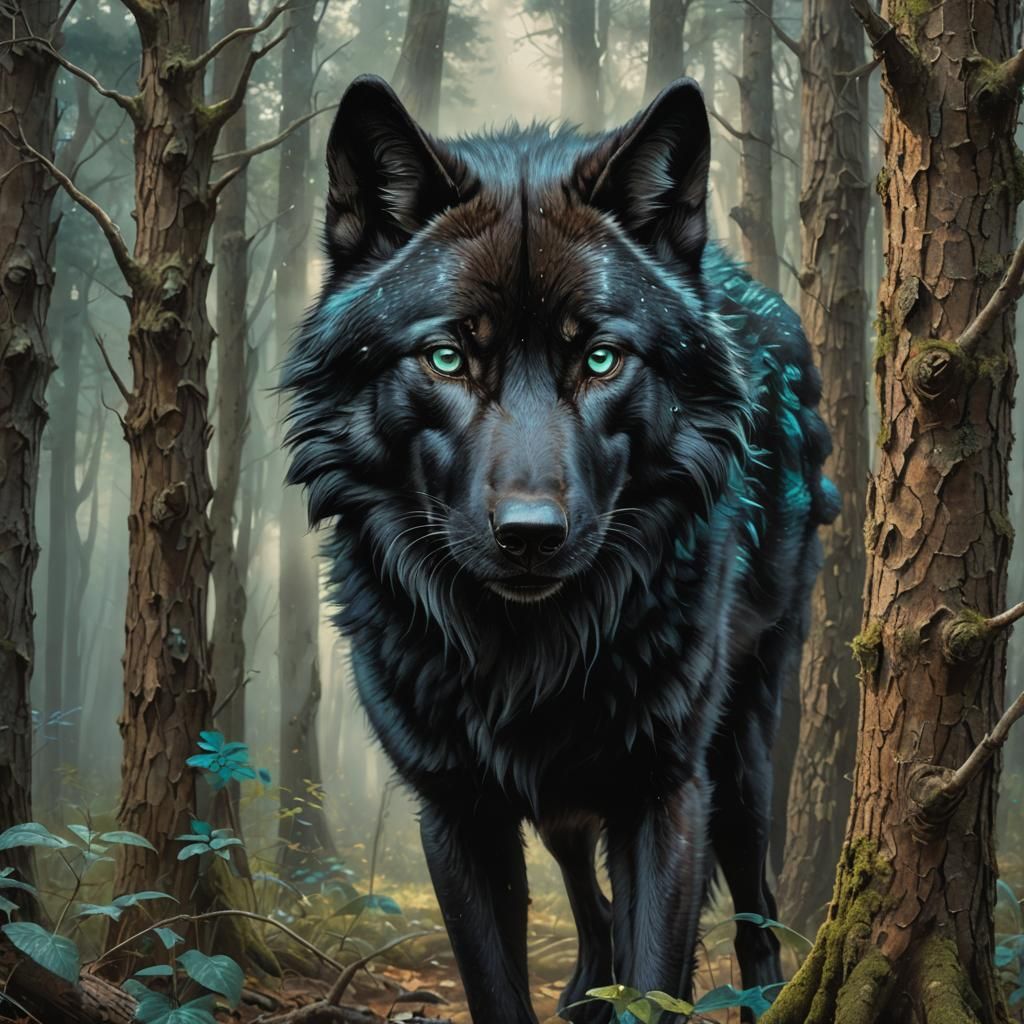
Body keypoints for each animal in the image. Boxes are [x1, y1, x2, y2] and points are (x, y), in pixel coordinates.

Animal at [283, 74, 838, 1024]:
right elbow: (502, 983)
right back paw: (583, 988)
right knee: (587, 890)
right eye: (447, 357)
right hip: (568, 802)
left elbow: (656, 977)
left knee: (756, 905)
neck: (526, 652)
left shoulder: (664, 792)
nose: (531, 535)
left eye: (603, 358)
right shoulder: (456, 810)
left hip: (742, 752)